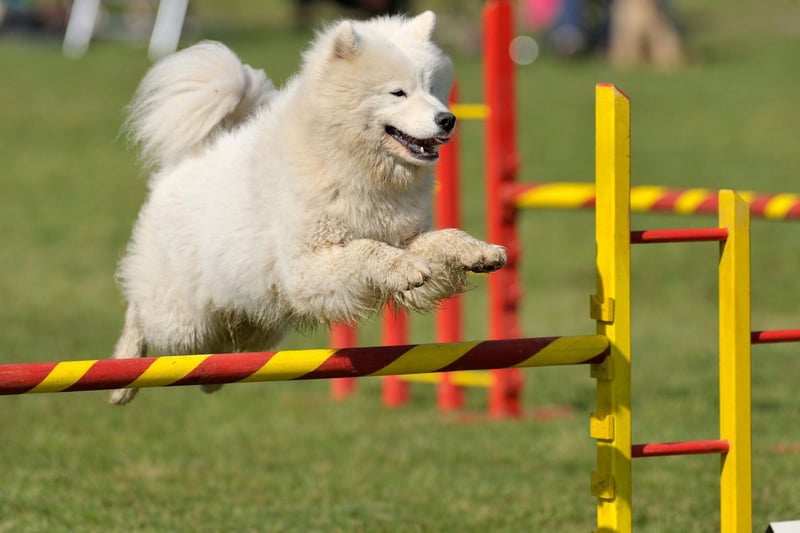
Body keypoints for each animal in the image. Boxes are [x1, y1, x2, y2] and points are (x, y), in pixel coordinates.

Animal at [110, 11, 506, 404]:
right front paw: (404, 267)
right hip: (184, 321)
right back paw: (123, 380)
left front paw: (478, 251)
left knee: (223, 348)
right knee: (141, 314)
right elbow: (367, 250)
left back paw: (210, 379)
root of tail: (184, 162)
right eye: (398, 92)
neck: (355, 165)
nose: (447, 119)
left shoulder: (403, 236)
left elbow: (442, 239)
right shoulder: (308, 266)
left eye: (434, 88)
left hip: (256, 318)